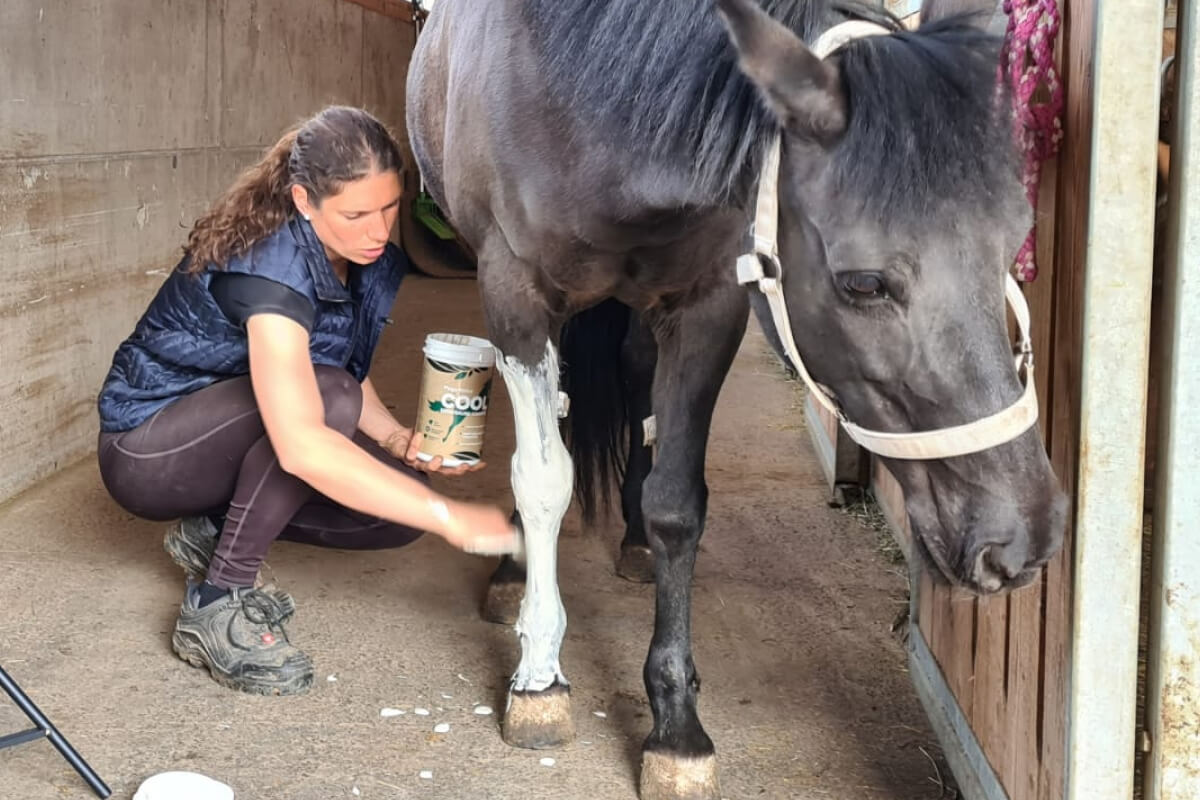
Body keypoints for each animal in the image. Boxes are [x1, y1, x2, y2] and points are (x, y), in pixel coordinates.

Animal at [408, 3, 1065, 796]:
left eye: (1012, 247)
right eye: (863, 283)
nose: (1025, 540)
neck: (579, 95)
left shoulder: (708, 304)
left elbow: (677, 505)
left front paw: (675, 727)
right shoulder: (517, 300)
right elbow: (542, 480)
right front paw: (539, 680)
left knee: (636, 384)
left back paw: (630, 539)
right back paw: (513, 571)